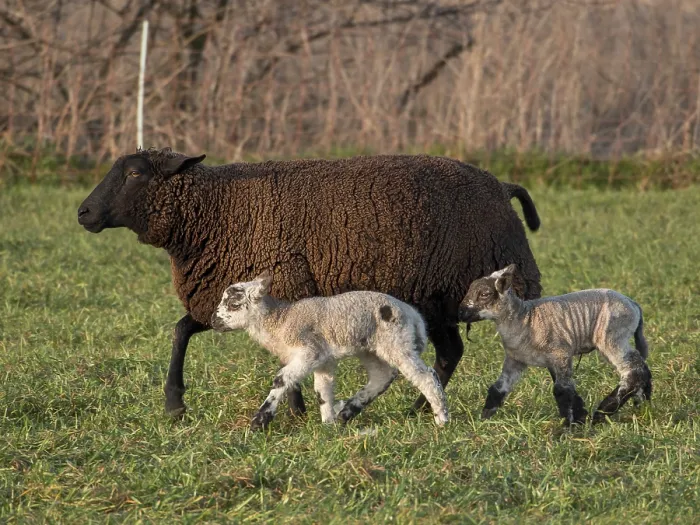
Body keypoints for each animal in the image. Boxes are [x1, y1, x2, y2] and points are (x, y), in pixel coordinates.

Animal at [210, 271, 449, 430]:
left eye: (233, 304)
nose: (213, 321)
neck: (280, 321)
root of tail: (413, 315)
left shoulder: (309, 351)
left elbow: (282, 379)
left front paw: (258, 423)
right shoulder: (323, 359)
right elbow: (322, 389)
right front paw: (328, 425)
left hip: (397, 341)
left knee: (426, 376)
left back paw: (442, 419)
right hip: (370, 347)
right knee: (382, 376)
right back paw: (346, 412)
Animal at [459, 264, 652, 426]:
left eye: (484, 294)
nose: (460, 312)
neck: (524, 319)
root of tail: (633, 304)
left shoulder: (561, 353)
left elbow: (562, 391)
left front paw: (566, 427)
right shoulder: (515, 359)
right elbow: (498, 388)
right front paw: (482, 419)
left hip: (613, 336)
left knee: (633, 370)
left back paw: (603, 411)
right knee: (641, 366)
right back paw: (642, 403)